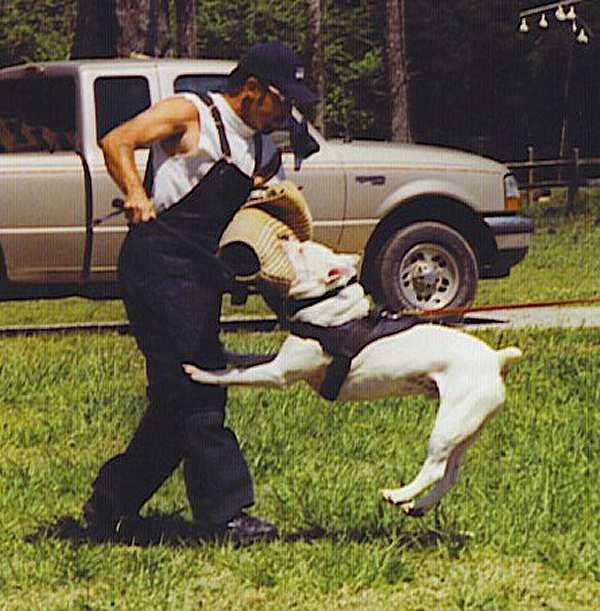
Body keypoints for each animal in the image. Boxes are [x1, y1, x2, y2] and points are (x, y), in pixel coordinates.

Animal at [184, 239, 520, 516]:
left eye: (302, 249)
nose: (283, 236)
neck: (325, 303)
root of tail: (495, 359)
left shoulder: (278, 374)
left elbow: (235, 375)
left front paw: (200, 373)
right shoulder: (277, 361)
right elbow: (247, 360)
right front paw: (224, 351)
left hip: (450, 423)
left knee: (436, 469)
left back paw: (398, 495)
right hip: (468, 426)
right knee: (451, 474)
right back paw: (418, 507)